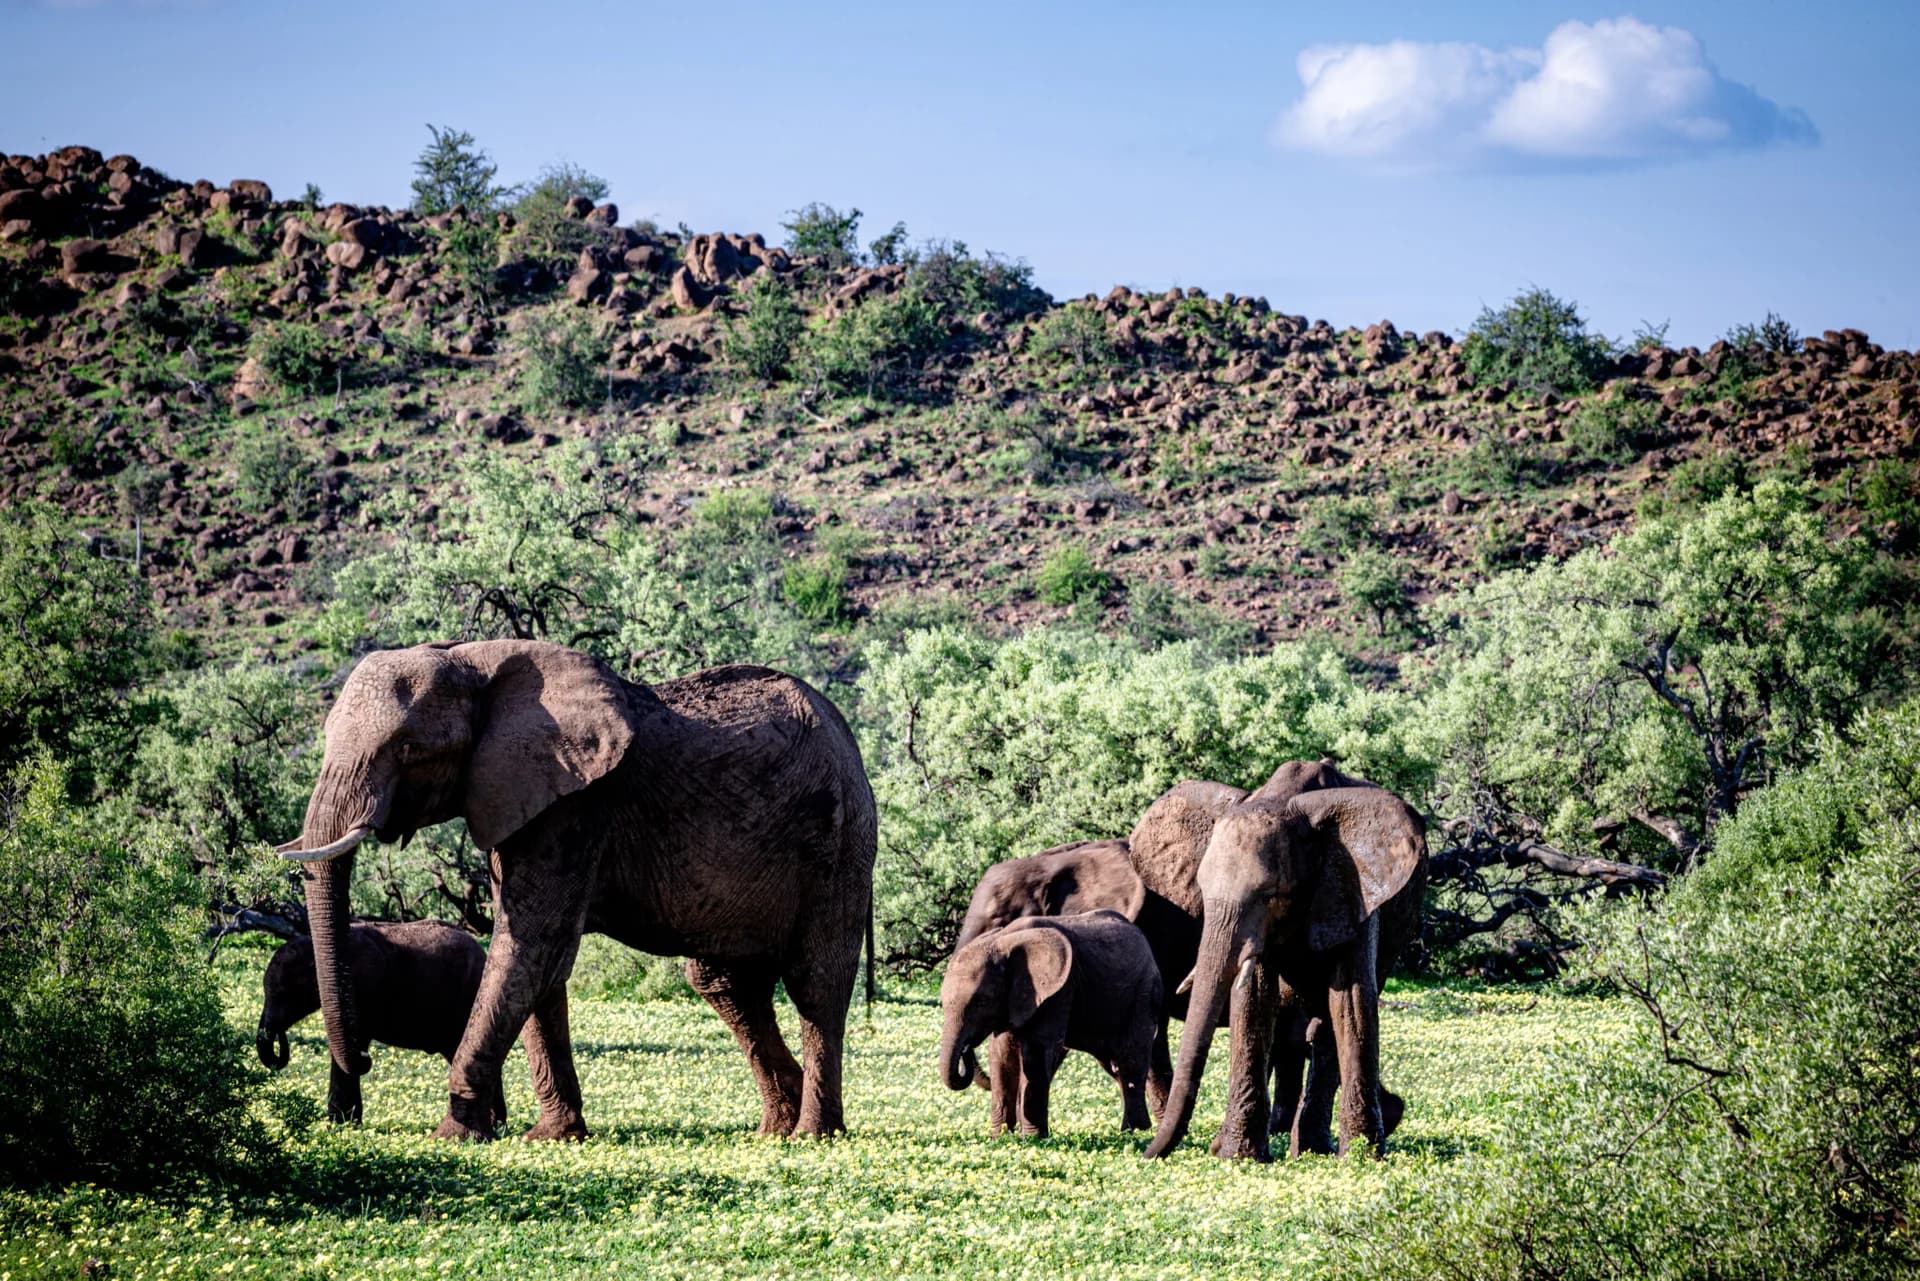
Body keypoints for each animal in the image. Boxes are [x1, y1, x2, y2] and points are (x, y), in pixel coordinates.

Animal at [256, 919, 505, 1128]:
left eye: (285, 994)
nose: (279, 1035)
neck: (313, 948)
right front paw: (343, 1124)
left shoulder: (363, 992)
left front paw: (344, 1125)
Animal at [939, 910, 1163, 1138]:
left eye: (982, 1001)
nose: (966, 1048)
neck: (1001, 941)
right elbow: (1001, 1054)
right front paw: (1001, 1137)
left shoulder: (1057, 990)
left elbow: (1036, 1052)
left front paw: (1033, 1138)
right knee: (1113, 1065)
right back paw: (1136, 1131)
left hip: (1143, 994)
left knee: (1131, 1057)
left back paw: (1135, 1132)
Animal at [1142, 771, 1428, 1162]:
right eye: (1200, 888)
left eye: (1270, 896)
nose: (1146, 1154)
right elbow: (1255, 1000)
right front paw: (1238, 1157)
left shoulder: (1351, 889)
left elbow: (1350, 1002)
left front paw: (1363, 1158)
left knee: (1326, 1022)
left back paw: (1314, 1149)